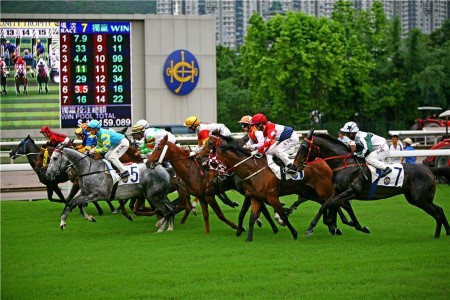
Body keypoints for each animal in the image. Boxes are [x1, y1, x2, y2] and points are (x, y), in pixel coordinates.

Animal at [44, 145, 174, 232]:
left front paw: (63, 223)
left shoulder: (98, 194)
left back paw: (160, 228)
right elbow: (77, 203)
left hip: (154, 196)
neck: (88, 169)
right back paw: (169, 228)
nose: (48, 174)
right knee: (171, 208)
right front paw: (89, 218)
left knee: (166, 211)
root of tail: (164, 169)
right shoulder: (85, 193)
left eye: (55, 158)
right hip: (160, 195)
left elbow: (73, 202)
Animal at [294, 130, 448, 238]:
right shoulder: (339, 192)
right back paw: (444, 233)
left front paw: (311, 228)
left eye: (303, 147)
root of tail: (428, 169)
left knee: (438, 213)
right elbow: (332, 204)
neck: (344, 164)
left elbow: (327, 205)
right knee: (440, 210)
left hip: (420, 199)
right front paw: (353, 226)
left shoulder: (352, 191)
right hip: (417, 199)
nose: (294, 166)